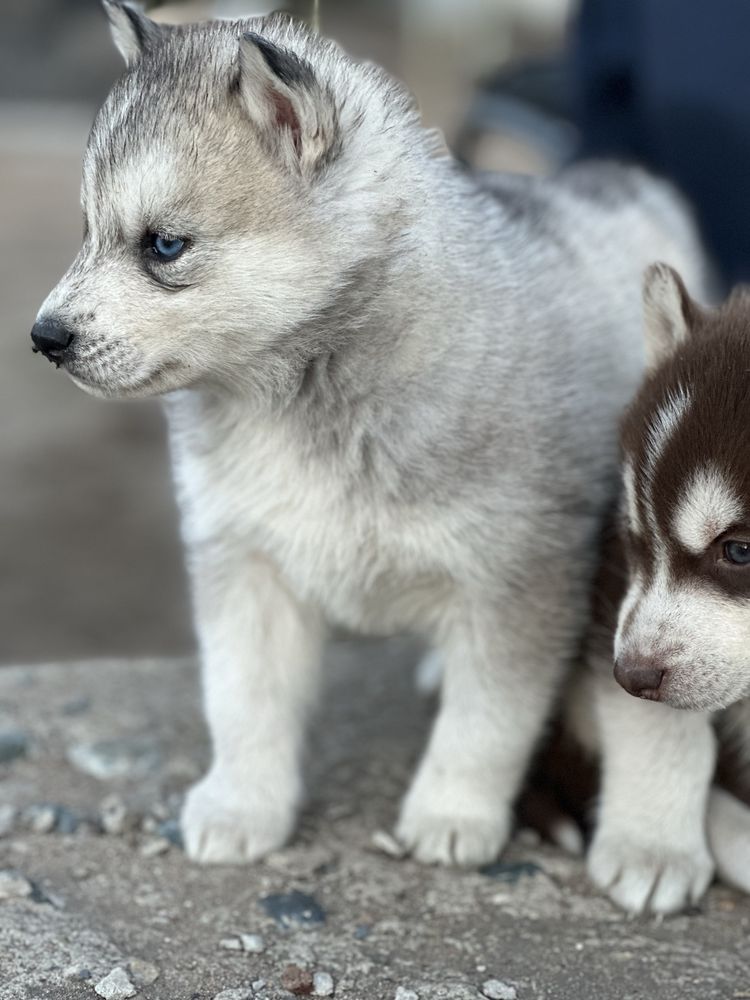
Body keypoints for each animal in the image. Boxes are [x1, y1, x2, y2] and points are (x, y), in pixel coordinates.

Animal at [30, 1, 712, 868]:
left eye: (164, 244)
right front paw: (241, 803)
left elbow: (487, 720)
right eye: (86, 229)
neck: (306, 398)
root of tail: (617, 178)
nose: (43, 337)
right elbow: (243, 697)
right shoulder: (242, 558)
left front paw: (453, 813)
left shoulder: (518, 578)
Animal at [580, 264, 750, 916]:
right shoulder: (612, 590)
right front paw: (652, 848)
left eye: (739, 550)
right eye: (636, 537)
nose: (630, 676)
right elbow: (665, 730)